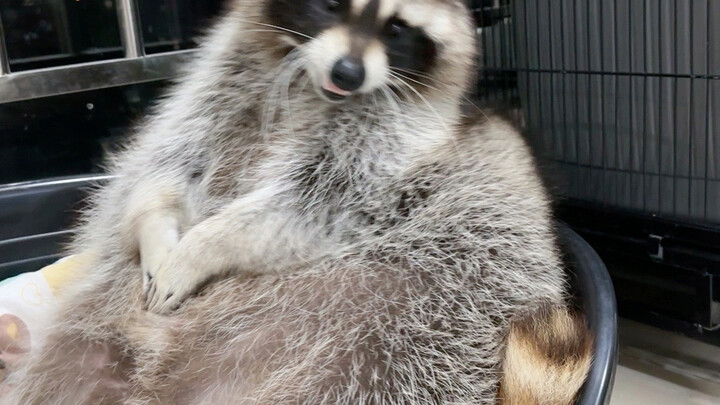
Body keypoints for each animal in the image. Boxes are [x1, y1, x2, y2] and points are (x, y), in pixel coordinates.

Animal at [0, 0, 592, 404]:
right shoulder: (221, 81)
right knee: (72, 363)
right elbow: (171, 156)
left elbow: (317, 202)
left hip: (423, 328)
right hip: (98, 329)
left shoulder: (394, 140)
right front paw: (157, 230)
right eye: (328, 4)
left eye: (396, 29)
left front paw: (205, 245)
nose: (347, 73)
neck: (312, 84)